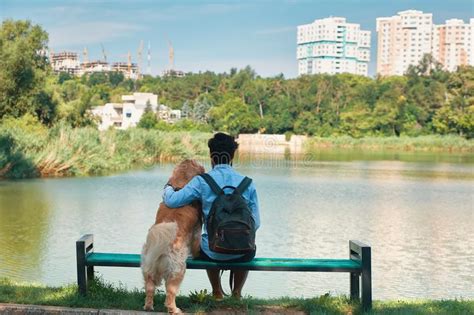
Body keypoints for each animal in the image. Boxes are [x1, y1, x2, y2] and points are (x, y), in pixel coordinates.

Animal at [143, 160, 206, 314]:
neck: (179, 187)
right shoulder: (197, 230)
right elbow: (196, 243)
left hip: (148, 267)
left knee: (150, 288)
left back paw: (148, 306)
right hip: (177, 270)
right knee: (170, 294)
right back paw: (175, 309)